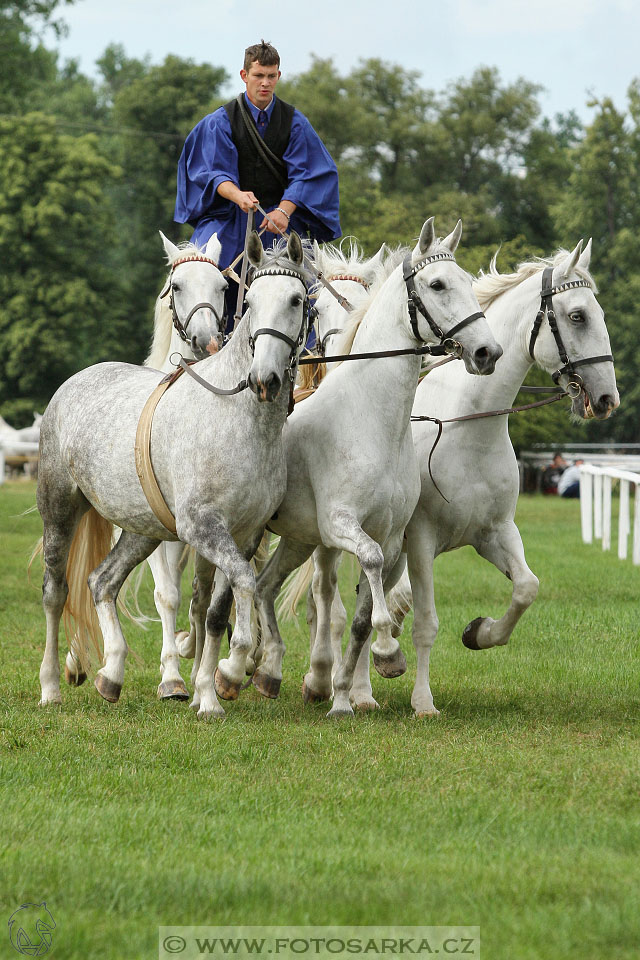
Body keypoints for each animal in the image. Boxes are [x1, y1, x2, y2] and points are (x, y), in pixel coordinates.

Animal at [37, 229, 312, 716]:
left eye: (296, 299)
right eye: (250, 301)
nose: (264, 380)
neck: (240, 419)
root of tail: (74, 381)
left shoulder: (245, 535)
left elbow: (216, 611)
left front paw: (208, 692)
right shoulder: (201, 528)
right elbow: (239, 585)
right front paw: (230, 668)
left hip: (141, 530)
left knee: (101, 582)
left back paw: (111, 675)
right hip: (60, 510)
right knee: (57, 592)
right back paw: (51, 685)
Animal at [248, 218, 502, 712]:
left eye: (468, 282)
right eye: (437, 284)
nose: (488, 352)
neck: (371, 419)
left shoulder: (390, 535)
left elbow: (363, 614)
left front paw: (346, 697)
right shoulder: (343, 526)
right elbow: (366, 581)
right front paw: (386, 651)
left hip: (297, 540)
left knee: (264, 586)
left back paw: (266, 674)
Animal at [344, 242, 620, 712]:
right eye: (578, 316)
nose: (606, 399)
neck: (468, 427)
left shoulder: (495, 532)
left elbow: (526, 588)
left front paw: (480, 633)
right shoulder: (422, 541)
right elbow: (426, 622)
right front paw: (423, 702)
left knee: (371, 599)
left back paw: (365, 680)